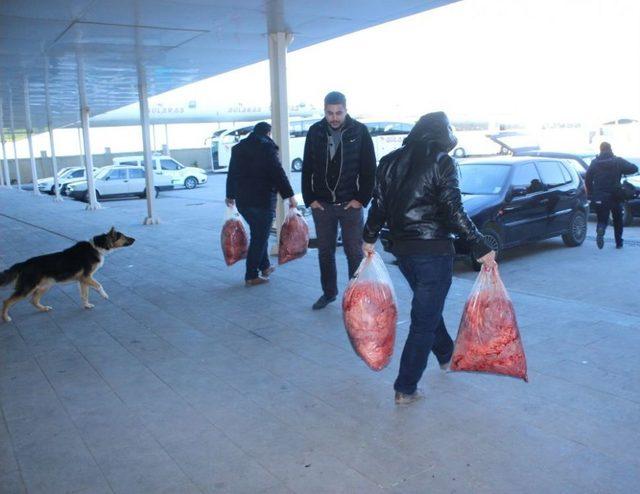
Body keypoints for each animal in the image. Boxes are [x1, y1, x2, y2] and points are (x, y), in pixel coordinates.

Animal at [0, 227, 134, 322]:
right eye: (123, 236)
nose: (135, 239)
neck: (97, 247)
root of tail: (23, 264)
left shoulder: (83, 280)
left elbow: (85, 295)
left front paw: (86, 305)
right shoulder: (86, 277)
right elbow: (99, 285)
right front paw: (104, 295)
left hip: (45, 286)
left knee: (33, 301)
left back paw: (44, 308)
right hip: (27, 289)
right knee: (7, 301)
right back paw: (6, 318)